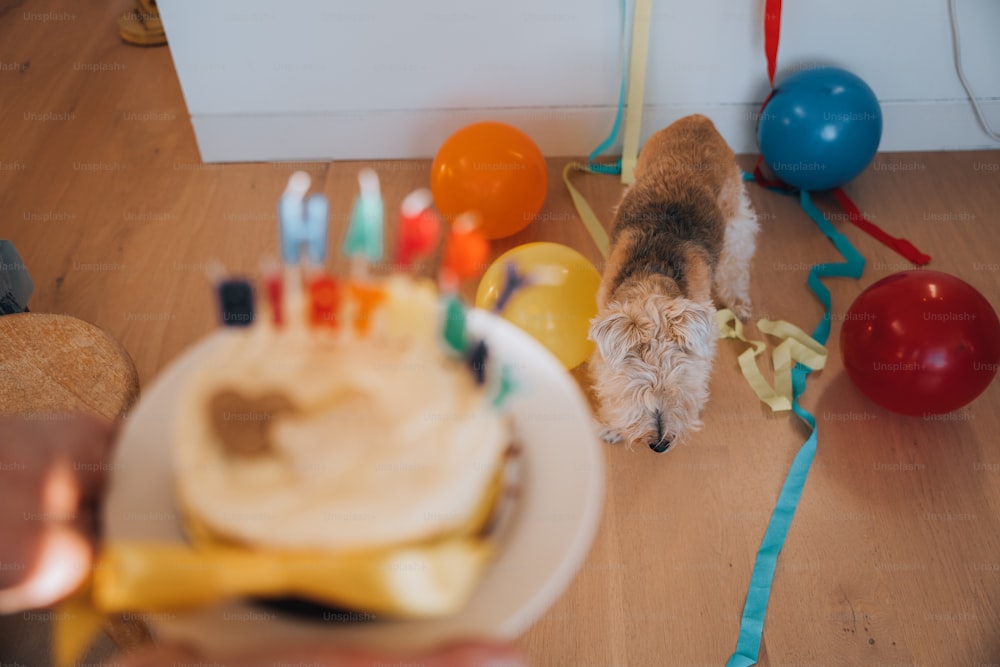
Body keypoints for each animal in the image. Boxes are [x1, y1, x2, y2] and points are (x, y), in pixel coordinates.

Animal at [584, 116, 756, 454]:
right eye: (635, 386)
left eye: (681, 381)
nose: (660, 444)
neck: (652, 277)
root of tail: (700, 119)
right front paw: (612, 426)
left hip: (736, 222)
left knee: (735, 267)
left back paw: (739, 303)